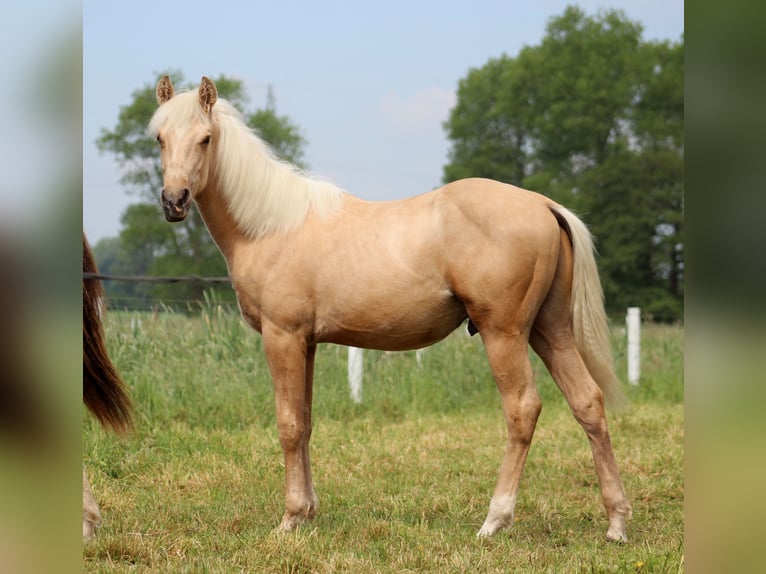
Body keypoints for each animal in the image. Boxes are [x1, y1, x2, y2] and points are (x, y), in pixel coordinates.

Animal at [152, 74, 636, 544]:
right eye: (159, 137)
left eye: (206, 138)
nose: (174, 200)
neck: (271, 226)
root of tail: (543, 204)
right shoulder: (306, 343)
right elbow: (305, 423)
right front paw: (307, 512)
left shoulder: (282, 337)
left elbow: (288, 425)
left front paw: (289, 520)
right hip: (550, 330)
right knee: (588, 403)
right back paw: (616, 523)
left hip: (505, 334)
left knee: (522, 410)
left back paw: (494, 520)